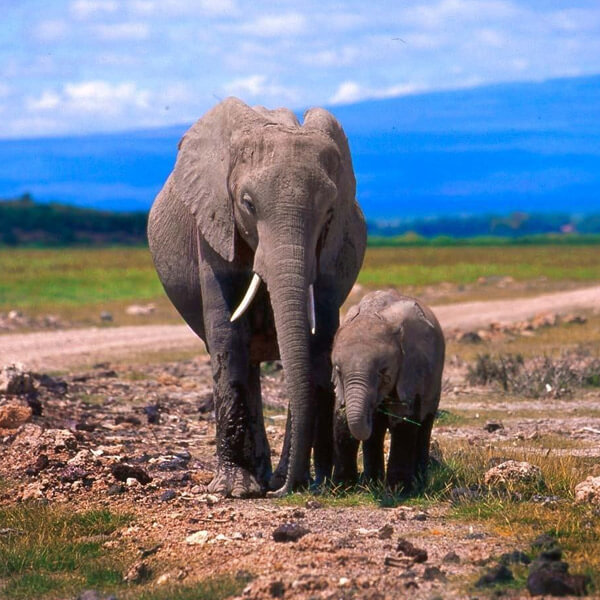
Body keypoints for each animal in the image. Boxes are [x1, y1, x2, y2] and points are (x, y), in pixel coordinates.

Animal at [149, 98, 366, 496]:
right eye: (248, 204)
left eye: (329, 211)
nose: (286, 491)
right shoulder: (214, 224)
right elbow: (227, 335)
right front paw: (234, 490)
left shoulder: (331, 252)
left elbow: (318, 344)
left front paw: (306, 483)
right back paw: (260, 480)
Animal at [332, 290, 446, 492]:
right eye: (338, 370)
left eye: (383, 371)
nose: (373, 407)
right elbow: (341, 416)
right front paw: (341, 489)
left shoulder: (410, 370)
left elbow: (403, 419)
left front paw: (397, 491)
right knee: (377, 432)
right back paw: (372, 483)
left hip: (434, 382)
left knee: (424, 425)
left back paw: (418, 482)